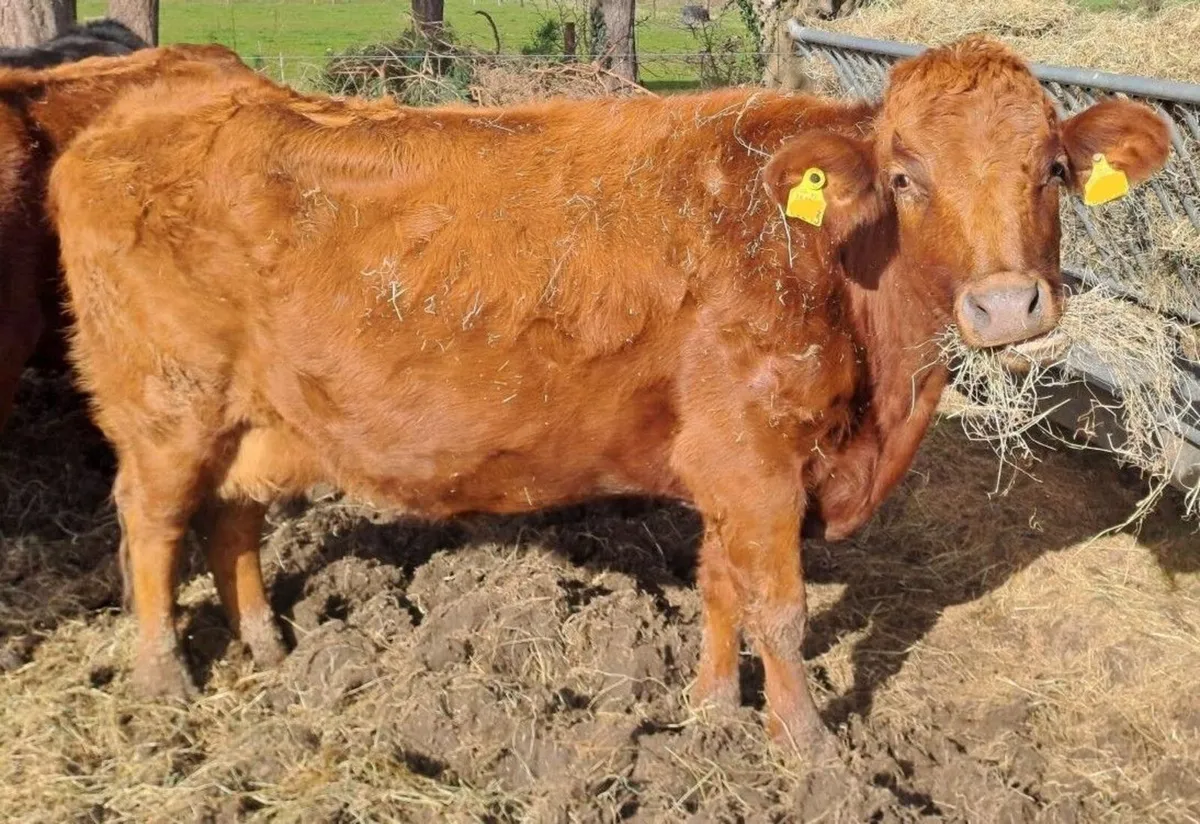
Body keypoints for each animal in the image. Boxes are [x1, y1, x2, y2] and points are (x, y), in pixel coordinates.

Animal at [49, 35, 1170, 753]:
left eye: (1051, 167)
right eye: (906, 176)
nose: (1007, 303)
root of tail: (143, 111)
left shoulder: (727, 467)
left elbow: (722, 590)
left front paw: (713, 714)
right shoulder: (756, 461)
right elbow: (781, 609)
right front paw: (807, 751)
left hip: (248, 416)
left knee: (231, 517)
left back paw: (268, 641)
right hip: (165, 405)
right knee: (151, 525)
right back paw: (163, 675)